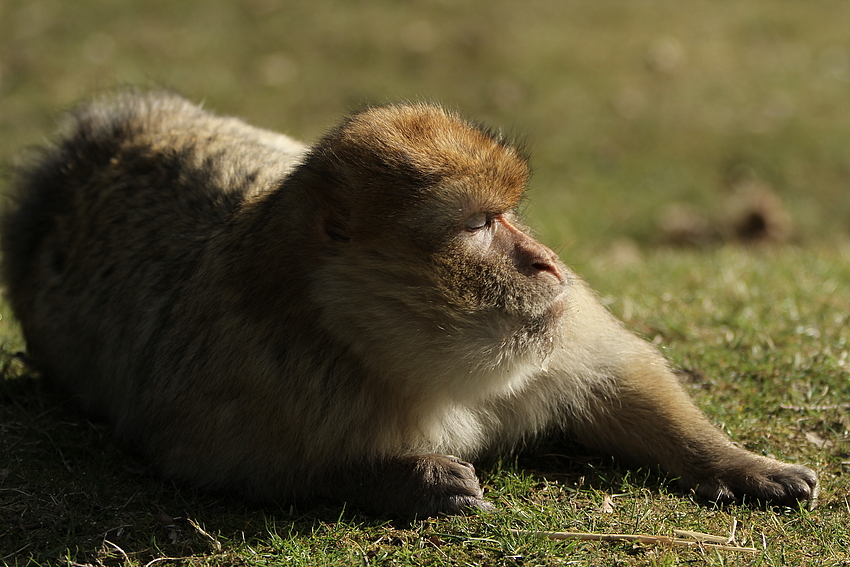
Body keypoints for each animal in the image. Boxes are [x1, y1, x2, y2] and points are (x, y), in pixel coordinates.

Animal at [0, 90, 816, 520]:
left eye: (508, 212)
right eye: (478, 224)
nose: (547, 261)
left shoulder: (557, 332)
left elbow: (617, 377)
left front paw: (739, 462)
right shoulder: (254, 376)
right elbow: (211, 464)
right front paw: (405, 478)